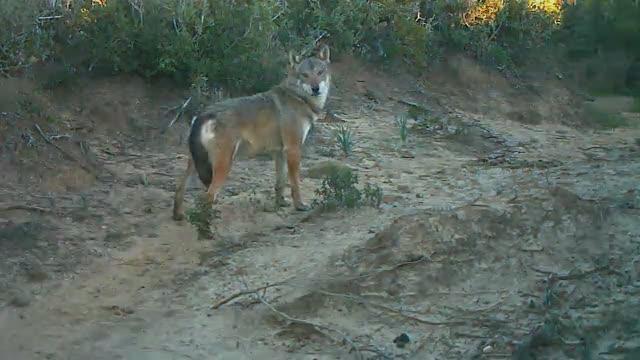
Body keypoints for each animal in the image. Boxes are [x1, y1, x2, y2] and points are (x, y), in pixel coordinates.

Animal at [172, 43, 332, 221]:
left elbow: (280, 182)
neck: (298, 97)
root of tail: (204, 114)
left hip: (195, 164)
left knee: (179, 188)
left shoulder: (279, 152)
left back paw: (178, 215)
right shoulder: (293, 149)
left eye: (320, 72)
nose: (315, 88)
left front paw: (281, 203)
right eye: (305, 75)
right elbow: (295, 183)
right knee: (207, 196)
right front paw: (299, 206)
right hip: (223, 166)